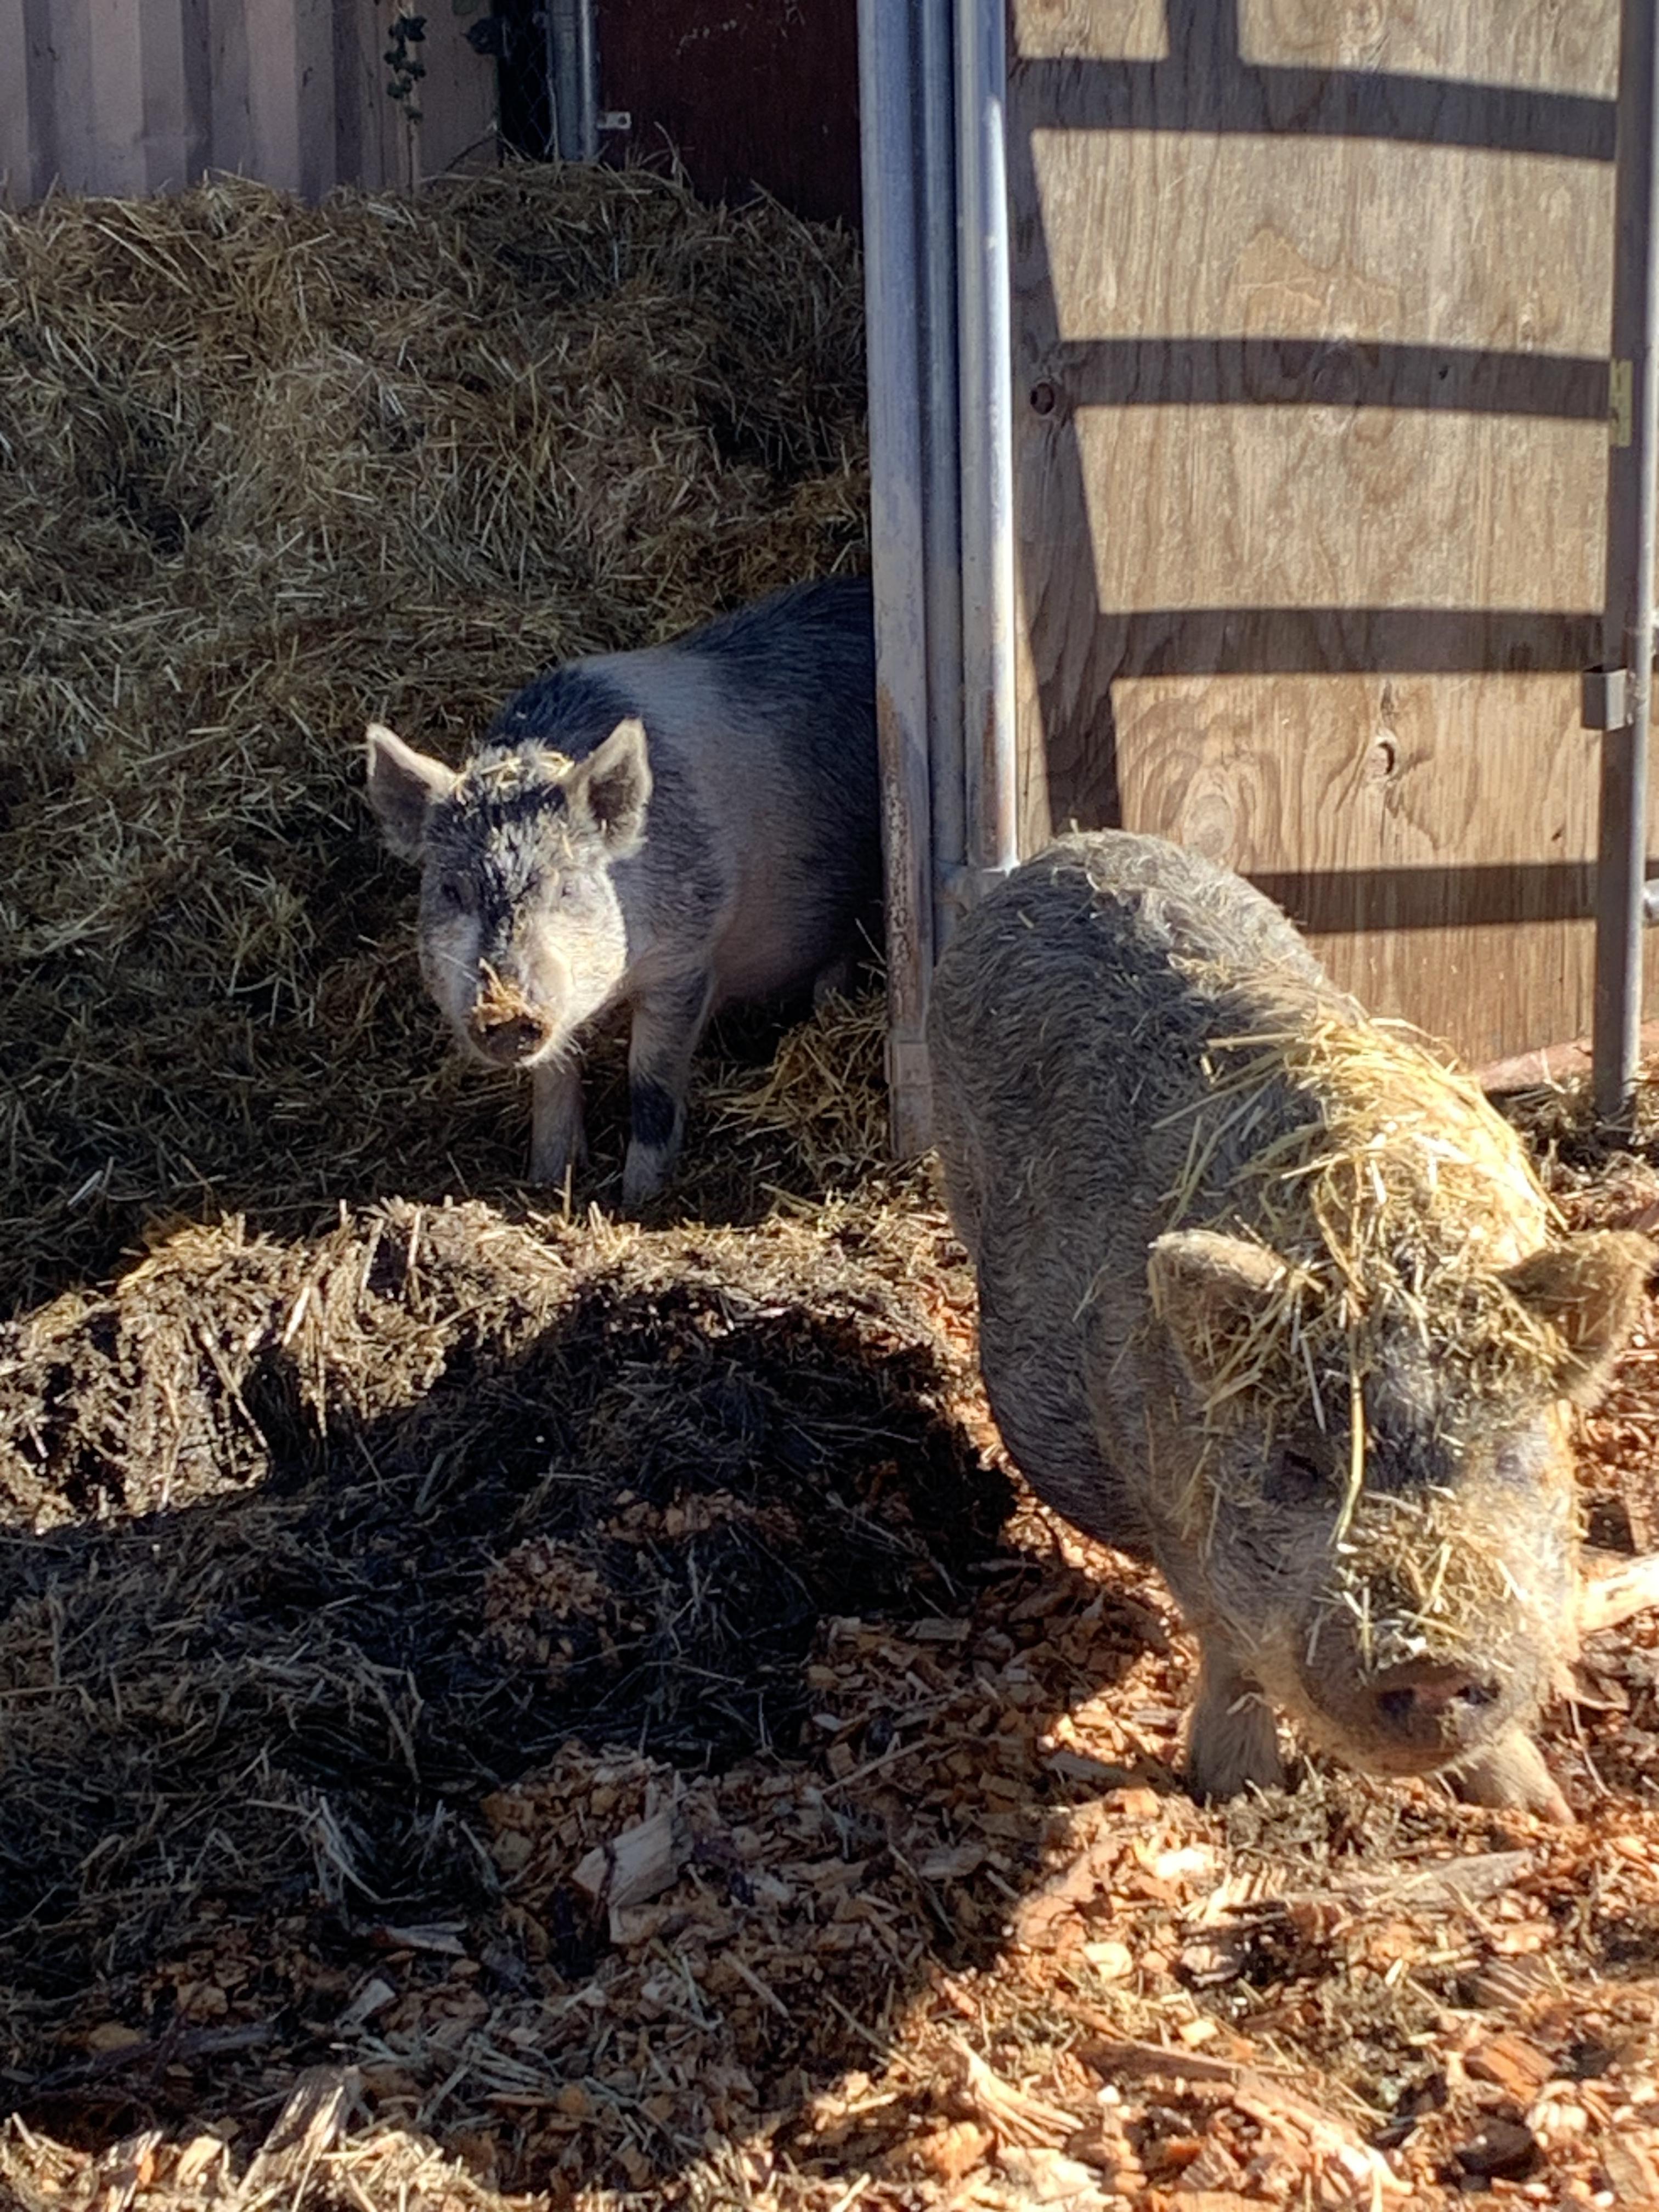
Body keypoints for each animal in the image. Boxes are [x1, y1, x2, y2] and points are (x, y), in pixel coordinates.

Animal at [364, 577, 879, 1208]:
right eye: (451, 888)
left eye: (567, 887)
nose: (508, 1012)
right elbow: (553, 1083)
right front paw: (547, 1179)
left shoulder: (686, 960)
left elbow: (651, 1084)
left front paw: (637, 1200)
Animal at [927, 830, 1653, 1817]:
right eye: (1301, 1466)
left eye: (1512, 1460)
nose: (1429, 1663)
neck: (1384, 1253)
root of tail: (1063, 851)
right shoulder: (1169, 1497)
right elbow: (1228, 1646)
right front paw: (1233, 1794)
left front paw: (1536, 1811)